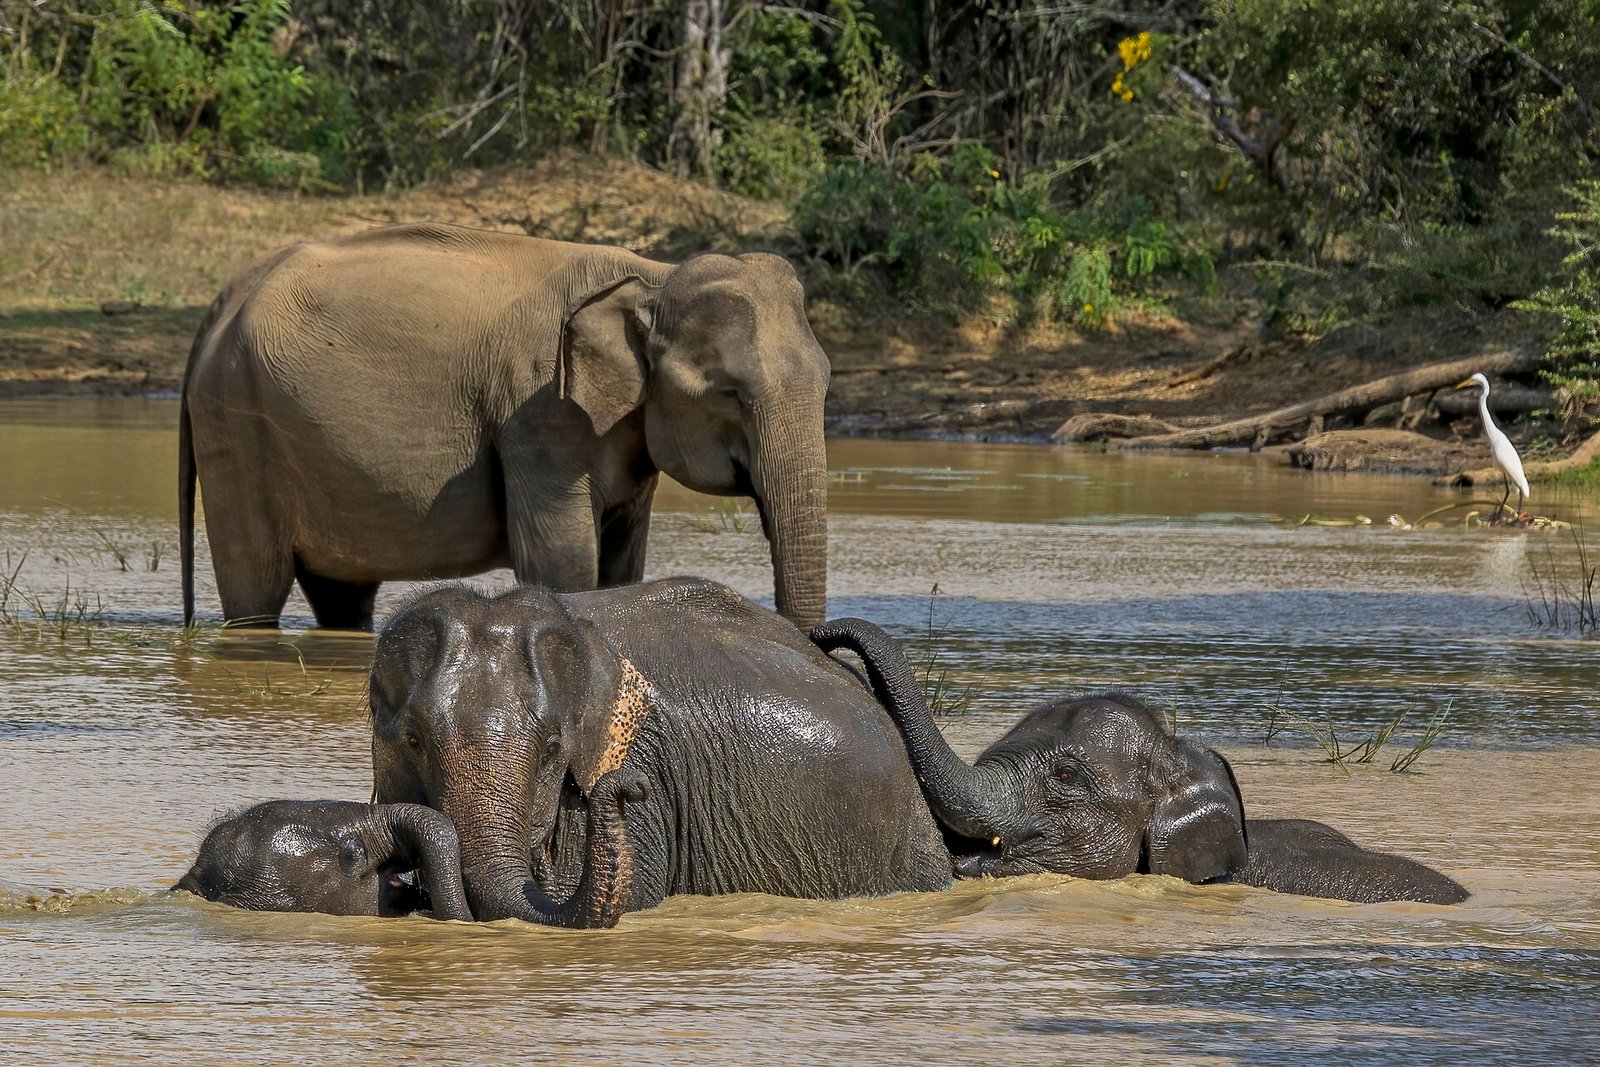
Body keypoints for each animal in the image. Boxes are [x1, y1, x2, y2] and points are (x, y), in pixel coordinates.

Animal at [178, 223, 830, 632]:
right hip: (236, 425)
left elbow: (622, 564)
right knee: (256, 588)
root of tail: (220, 304)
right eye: (729, 393)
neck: (651, 274)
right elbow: (561, 562)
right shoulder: (539, 413)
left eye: (827, 382)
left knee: (341, 592)